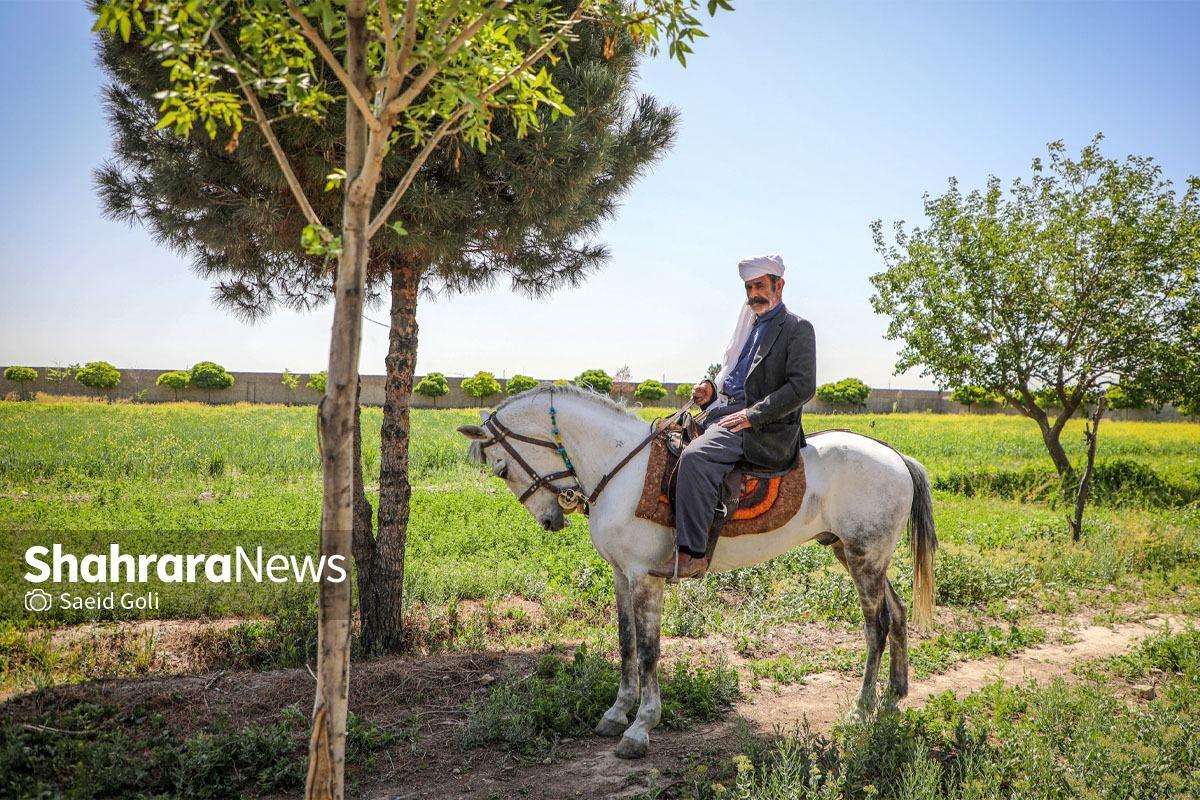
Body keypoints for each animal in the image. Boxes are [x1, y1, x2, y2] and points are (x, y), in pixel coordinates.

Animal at [458, 383, 936, 762]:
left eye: (502, 468)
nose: (550, 521)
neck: (624, 469)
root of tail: (896, 456)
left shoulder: (645, 578)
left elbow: (648, 651)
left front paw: (641, 726)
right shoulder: (621, 576)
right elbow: (626, 643)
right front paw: (617, 712)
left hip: (863, 557)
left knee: (876, 625)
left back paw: (862, 708)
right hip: (858, 555)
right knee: (896, 614)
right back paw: (894, 696)